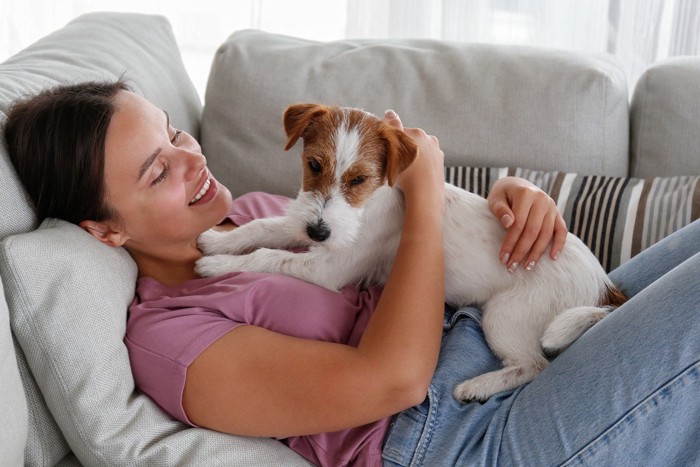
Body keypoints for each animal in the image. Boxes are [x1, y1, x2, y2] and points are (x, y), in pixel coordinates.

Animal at [194, 105, 628, 402]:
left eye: (359, 180)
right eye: (314, 164)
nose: (317, 231)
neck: (368, 206)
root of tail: (603, 284)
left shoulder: (330, 265)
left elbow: (267, 255)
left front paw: (219, 264)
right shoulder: (307, 225)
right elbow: (261, 229)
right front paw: (217, 241)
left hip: (506, 315)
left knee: (534, 366)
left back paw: (477, 386)